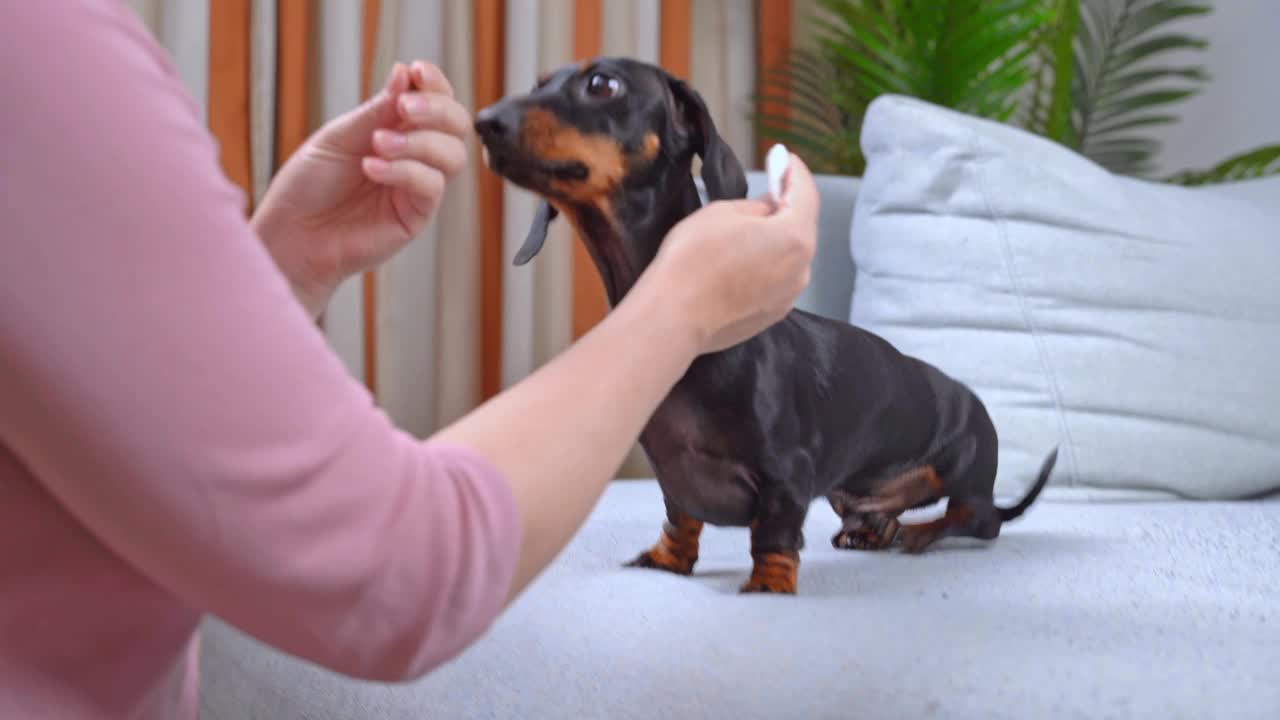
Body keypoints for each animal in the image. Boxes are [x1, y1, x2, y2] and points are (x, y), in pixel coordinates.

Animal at [476, 57, 1054, 594]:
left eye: (603, 84)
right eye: (538, 83)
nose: (484, 121)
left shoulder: (787, 475)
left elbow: (774, 535)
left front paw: (769, 586)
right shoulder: (673, 474)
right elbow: (680, 519)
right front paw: (667, 559)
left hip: (964, 468)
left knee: (977, 519)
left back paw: (922, 532)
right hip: (850, 493)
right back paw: (876, 529)